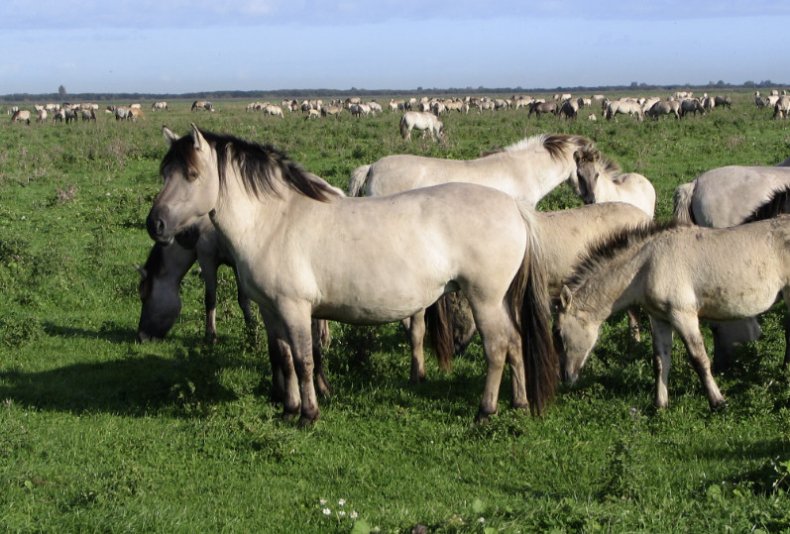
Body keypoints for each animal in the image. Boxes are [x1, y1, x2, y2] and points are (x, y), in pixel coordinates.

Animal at [147, 123, 556, 426]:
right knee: (516, 341)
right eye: (164, 172)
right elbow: (282, 357)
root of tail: (514, 207)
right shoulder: (270, 310)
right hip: (500, 300)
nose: (156, 224)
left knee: (497, 347)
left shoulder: (295, 308)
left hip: (484, 298)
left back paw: (485, 411)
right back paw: (520, 403)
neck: (274, 221)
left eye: (192, 174)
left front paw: (308, 415)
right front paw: (288, 409)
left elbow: (304, 360)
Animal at [552, 220, 790, 412]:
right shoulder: (660, 319)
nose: (565, 377)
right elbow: (660, 360)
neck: (647, 265)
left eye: (559, 333)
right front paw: (660, 405)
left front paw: (718, 402)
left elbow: (699, 359)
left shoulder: (683, 315)